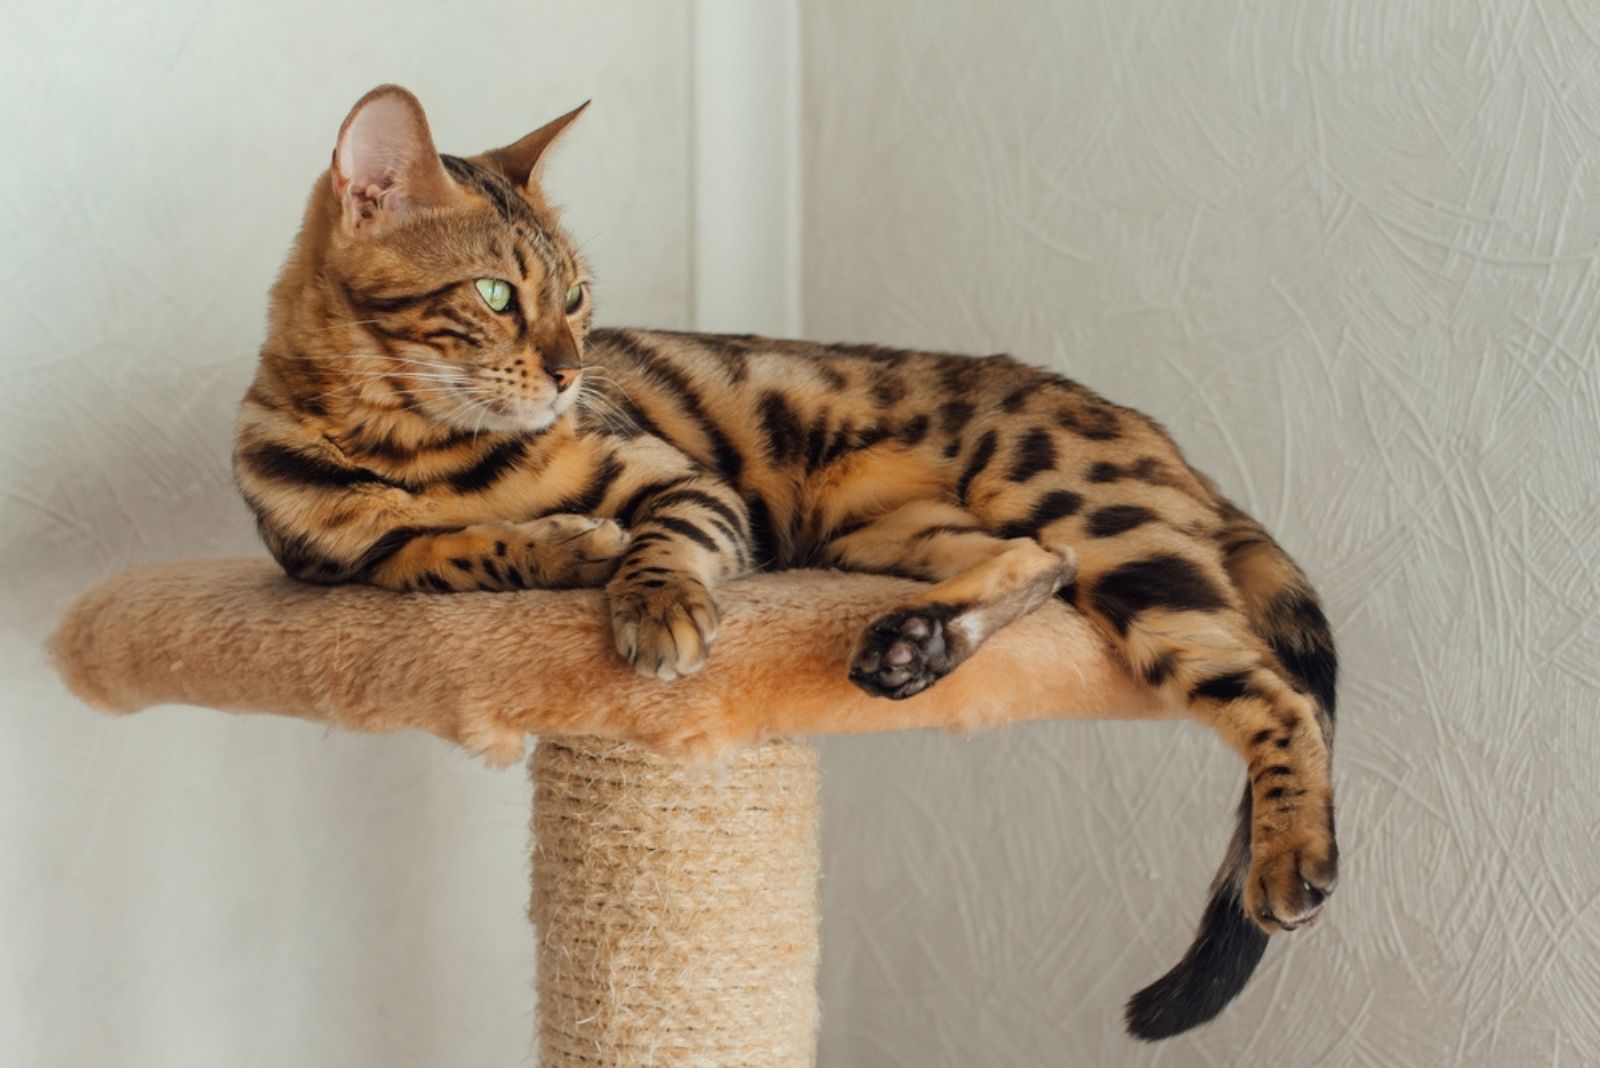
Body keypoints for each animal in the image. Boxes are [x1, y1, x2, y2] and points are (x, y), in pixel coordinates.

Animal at [233, 87, 1337, 1036]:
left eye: (578, 298)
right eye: (498, 295)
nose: (570, 372)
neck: (416, 448)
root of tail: (1157, 437)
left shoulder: (683, 482)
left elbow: (661, 543)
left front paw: (652, 602)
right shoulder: (335, 565)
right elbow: (443, 553)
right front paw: (562, 544)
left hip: (1087, 511)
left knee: (1272, 694)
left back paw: (1294, 858)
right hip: (884, 529)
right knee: (1040, 559)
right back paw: (917, 643)